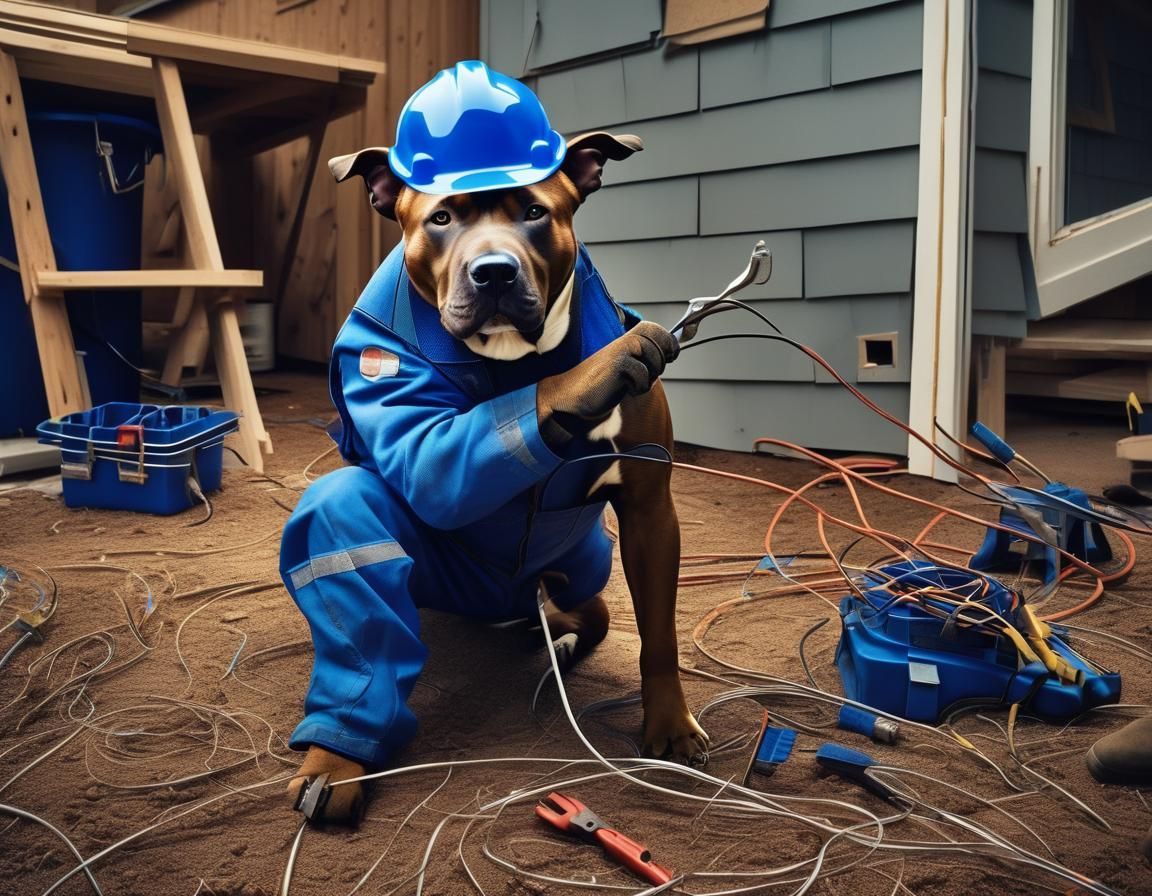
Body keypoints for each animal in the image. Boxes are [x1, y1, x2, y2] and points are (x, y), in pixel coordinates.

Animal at [283, 125, 705, 824]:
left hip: (581, 569)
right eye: (442, 219)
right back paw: (335, 757)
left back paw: (555, 638)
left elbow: (660, 636)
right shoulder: (385, 365)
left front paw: (669, 725)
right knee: (345, 522)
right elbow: (435, 462)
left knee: (590, 612)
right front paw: (600, 370)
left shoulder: (651, 511)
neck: (516, 359)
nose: (495, 272)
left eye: (534, 211)